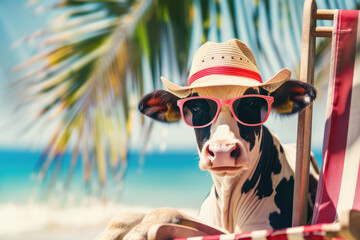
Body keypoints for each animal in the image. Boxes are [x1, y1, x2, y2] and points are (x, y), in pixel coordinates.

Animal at [96, 39, 318, 240]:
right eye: (195, 107)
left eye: (253, 103)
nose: (222, 150)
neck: (227, 206)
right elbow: (134, 213)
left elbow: (165, 210)